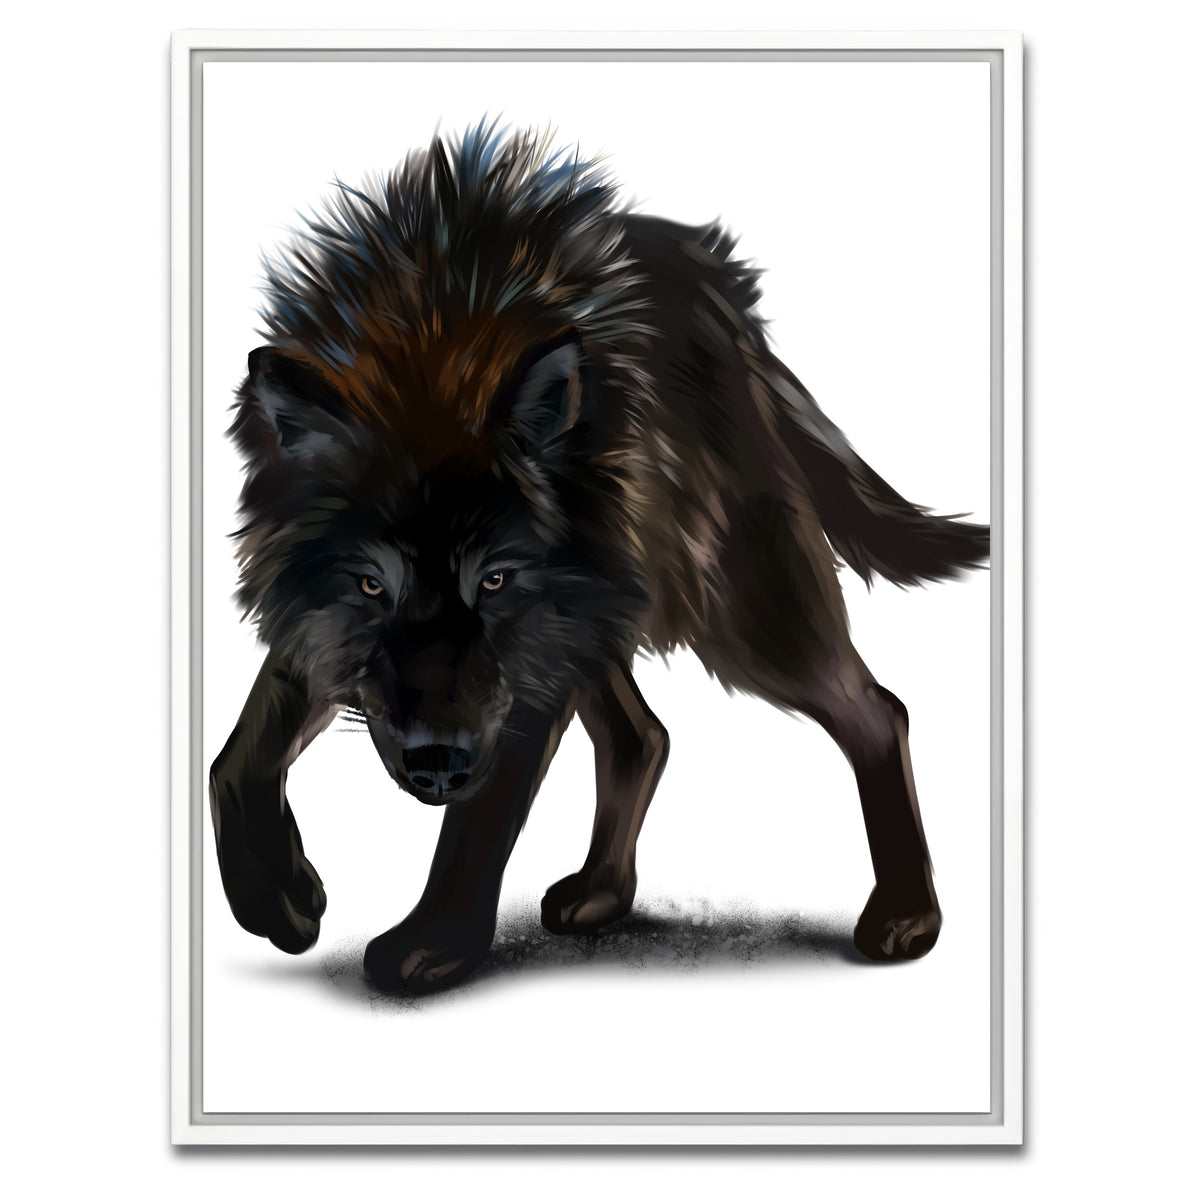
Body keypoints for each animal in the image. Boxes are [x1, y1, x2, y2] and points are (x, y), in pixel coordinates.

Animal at [209, 122, 989, 995]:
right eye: (373, 584)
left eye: (495, 579)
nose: (438, 764)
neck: (434, 341)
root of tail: (726, 299)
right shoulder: (324, 631)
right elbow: (234, 761)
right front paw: (279, 900)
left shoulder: (525, 666)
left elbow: (479, 821)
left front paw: (433, 942)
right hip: (607, 613)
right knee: (643, 736)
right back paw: (601, 895)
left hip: (735, 610)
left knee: (877, 712)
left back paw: (907, 917)